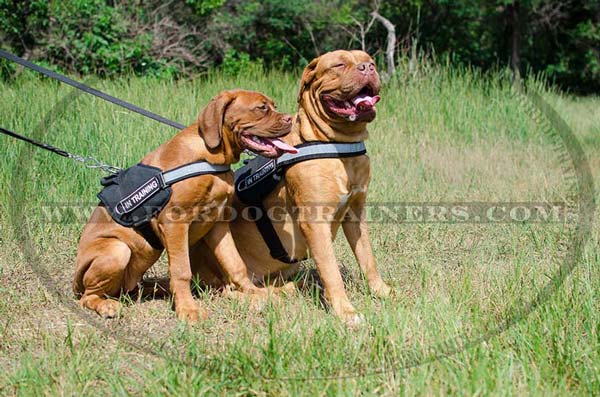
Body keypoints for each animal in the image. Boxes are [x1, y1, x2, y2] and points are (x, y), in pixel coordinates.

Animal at [72, 88, 296, 320]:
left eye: (274, 106)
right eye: (261, 108)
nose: (291, 119)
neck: (209, 157)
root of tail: (75, 283)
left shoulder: (218, 225)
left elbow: (235, 263)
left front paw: (255, 292)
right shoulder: (175, 224)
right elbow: (182, 271)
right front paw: (188, 309)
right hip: (117, 251)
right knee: (87, 297)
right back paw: (105, 305)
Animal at [190, 49, 392, 324]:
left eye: (370, 61)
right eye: (339, 64)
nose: (368, 68)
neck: (338, 145)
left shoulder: (355, 213)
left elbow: (367, 258)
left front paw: (381, 291)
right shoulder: (315, 221)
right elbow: (331, 270)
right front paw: (345, 311)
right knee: (231, 289)